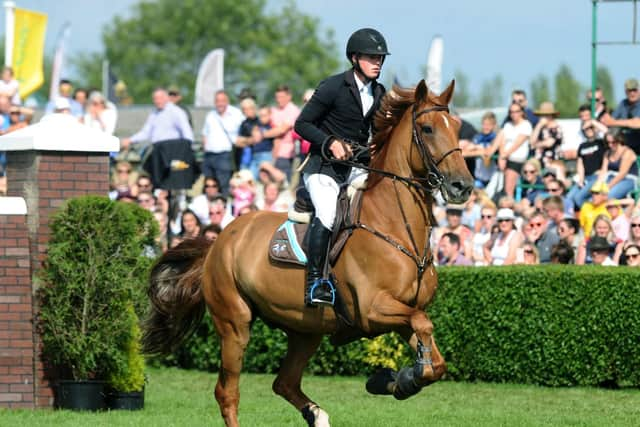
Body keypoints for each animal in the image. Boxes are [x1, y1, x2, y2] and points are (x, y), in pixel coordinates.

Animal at [145, 79, 476, 424]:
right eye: (427, 128)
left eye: (456, 127)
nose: (462, 186)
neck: (396, 227)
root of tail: (218, 242)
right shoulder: (374, 308)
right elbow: (424, 324)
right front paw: (394, 379)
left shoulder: (402, 313)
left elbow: (435, 360)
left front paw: (396, 380)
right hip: (235, 324)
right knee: (228, 392)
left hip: (305, 329)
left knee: (284, 382)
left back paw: (318, 415)